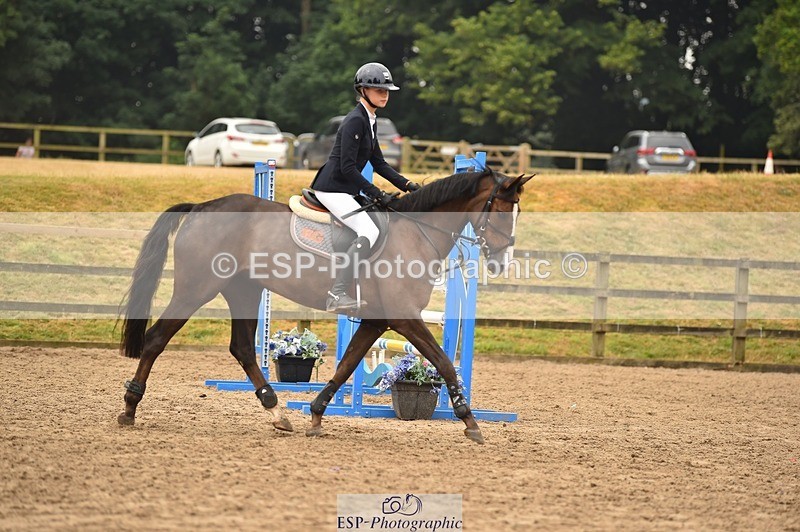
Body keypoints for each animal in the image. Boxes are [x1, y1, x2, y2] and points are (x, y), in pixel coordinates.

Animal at [118, 168, 533, 444]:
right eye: (500, 209)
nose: (501, 262)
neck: (417, 232)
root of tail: (203, 207)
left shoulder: (377, 321)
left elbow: (347, 364)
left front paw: (316, 414)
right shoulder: (404, 318)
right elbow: (443, 362)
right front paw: (469, 420)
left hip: (243, 290)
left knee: (242, 349)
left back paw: (277, 411)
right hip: (198, 287)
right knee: (157, 338)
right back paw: (129, 407)